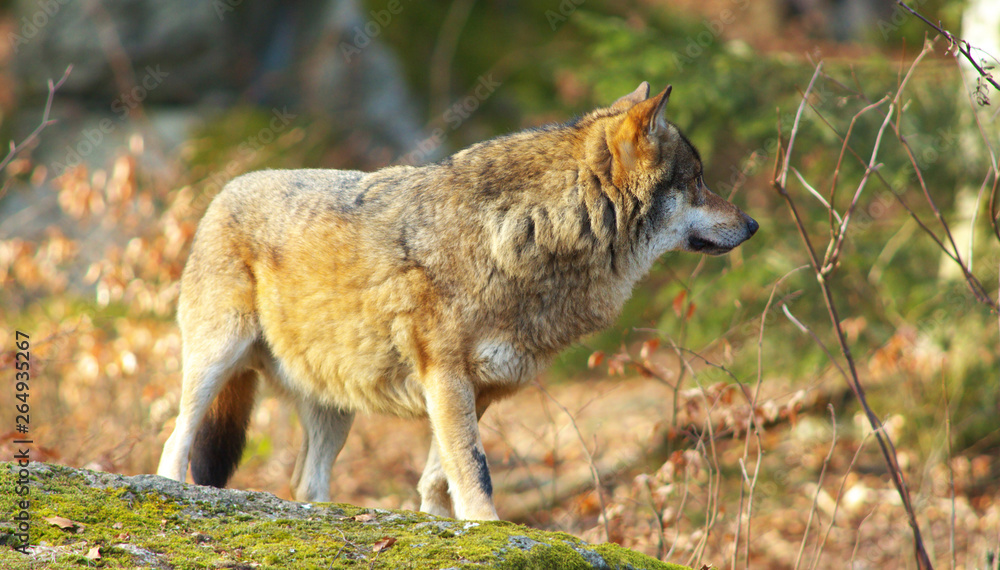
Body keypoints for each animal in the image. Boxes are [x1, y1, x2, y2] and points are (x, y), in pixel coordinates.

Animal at [156, 82, 758, 520]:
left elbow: (437, 477)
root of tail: (223, 191)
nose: (752, 224)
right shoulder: (444, 375)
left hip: (335, 410)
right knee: (174, 443)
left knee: (306, 483)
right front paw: (487, 525)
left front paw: (445, 526)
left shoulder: (481, 387)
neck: (526, 234)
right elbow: (473, 469)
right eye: (698, 181)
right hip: (218, 359)